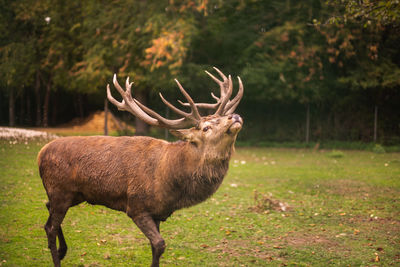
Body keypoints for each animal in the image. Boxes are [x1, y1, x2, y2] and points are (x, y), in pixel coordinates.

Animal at [38, 66, 244, 266]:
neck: (170, 181)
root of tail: (40, 154)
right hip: (61, 190)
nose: (234, 116)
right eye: (206, 128)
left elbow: (154, 248)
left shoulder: (157, 213)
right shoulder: (137, 207)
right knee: (49, 227)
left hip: (74, 194)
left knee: (47, 208)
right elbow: (159, 244)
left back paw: (62, 250)